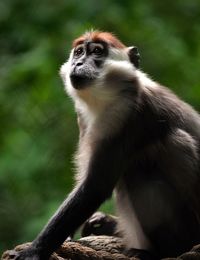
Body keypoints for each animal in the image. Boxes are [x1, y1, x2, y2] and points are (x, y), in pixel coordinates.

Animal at [11, 31, 200, 260]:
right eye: (78, 52)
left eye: (97, 52)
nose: (78, 63)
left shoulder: (126, 115)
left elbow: (95, 186)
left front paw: (34, 251)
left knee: (157, 153)